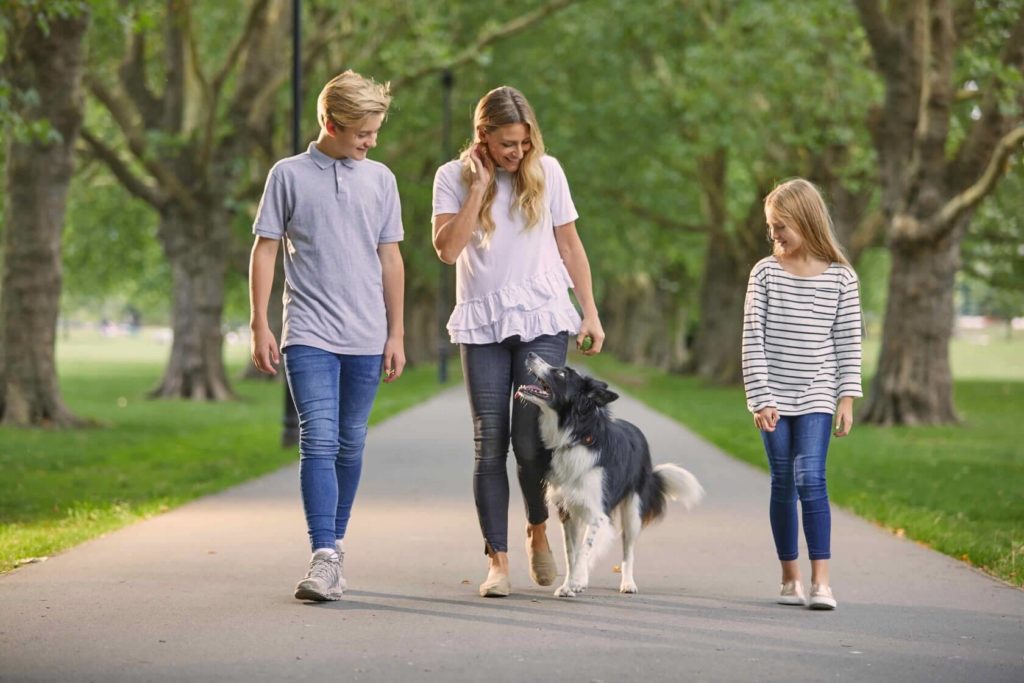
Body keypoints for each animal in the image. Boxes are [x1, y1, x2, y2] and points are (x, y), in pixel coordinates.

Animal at [512, 352, 704, 598]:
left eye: (562, 373)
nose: (530, 353)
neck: (576, 437)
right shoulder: (567, 511)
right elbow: (572, 553)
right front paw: (568, 585)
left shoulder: (599, 515)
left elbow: (585, 550)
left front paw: (577, 581)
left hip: (632, 512)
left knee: (628, 552)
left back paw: (628, 583)